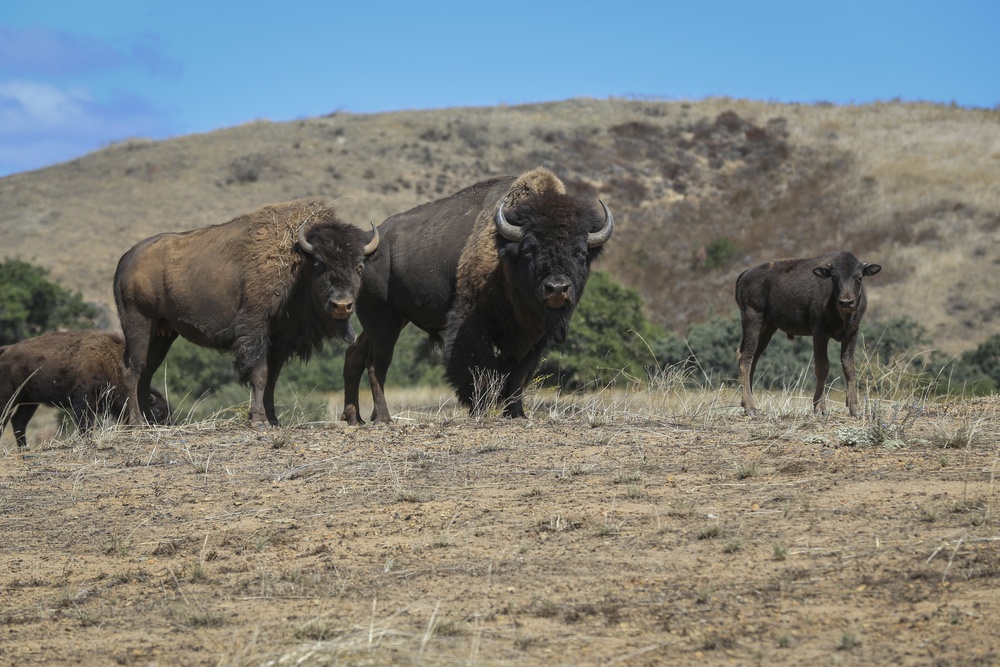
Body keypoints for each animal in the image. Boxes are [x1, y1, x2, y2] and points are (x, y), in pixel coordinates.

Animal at [0, 330, 171, 448]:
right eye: (158, 412)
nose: (166, 427)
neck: (110, 363)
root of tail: (6, 350)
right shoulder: (83, 401)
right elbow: (86, 425)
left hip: (29, 401)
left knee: (18, 421)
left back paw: (25, 448)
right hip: (10, 396)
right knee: (5, 419)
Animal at [113, 200, 378, 428]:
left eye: (359, 266)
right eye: (320, 265)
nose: (342, 305)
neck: (297, 263)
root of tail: (125, 259)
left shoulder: (280, 340)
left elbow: (272, 378)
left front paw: (273, 419)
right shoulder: (255, 329)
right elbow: (260, 373)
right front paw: (259, 420)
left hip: (163, 332)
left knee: (147, 371)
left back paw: (149, 421)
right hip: (139, 322)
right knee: (132, 368)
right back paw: (137, 422)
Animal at [342, 170, 608, 426]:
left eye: (581, 252)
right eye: (530, 248)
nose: (557, 288)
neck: (506, 257)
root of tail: (366, 248)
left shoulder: (534, 338)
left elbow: (519, 376)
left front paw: (516, 413)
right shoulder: (473, 324)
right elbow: (477, 368)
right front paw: (479, 410)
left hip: (390, 320)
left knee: (355, 354)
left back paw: (355, 418)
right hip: (382, 320)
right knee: (377, 364)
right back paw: (383, 419)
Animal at [736, 252, 884, 418]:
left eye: (859, 277)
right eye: (834, 277)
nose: (846, 302)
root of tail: (745, 274)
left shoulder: (852, 333)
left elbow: (848, 367)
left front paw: (855, 408)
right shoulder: (819, 333)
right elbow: (822, 367)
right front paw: (819, 408)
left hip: (767, 328)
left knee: (752, 358)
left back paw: (749, 404)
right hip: (753, 320)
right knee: (745, 358)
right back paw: (750, 408)